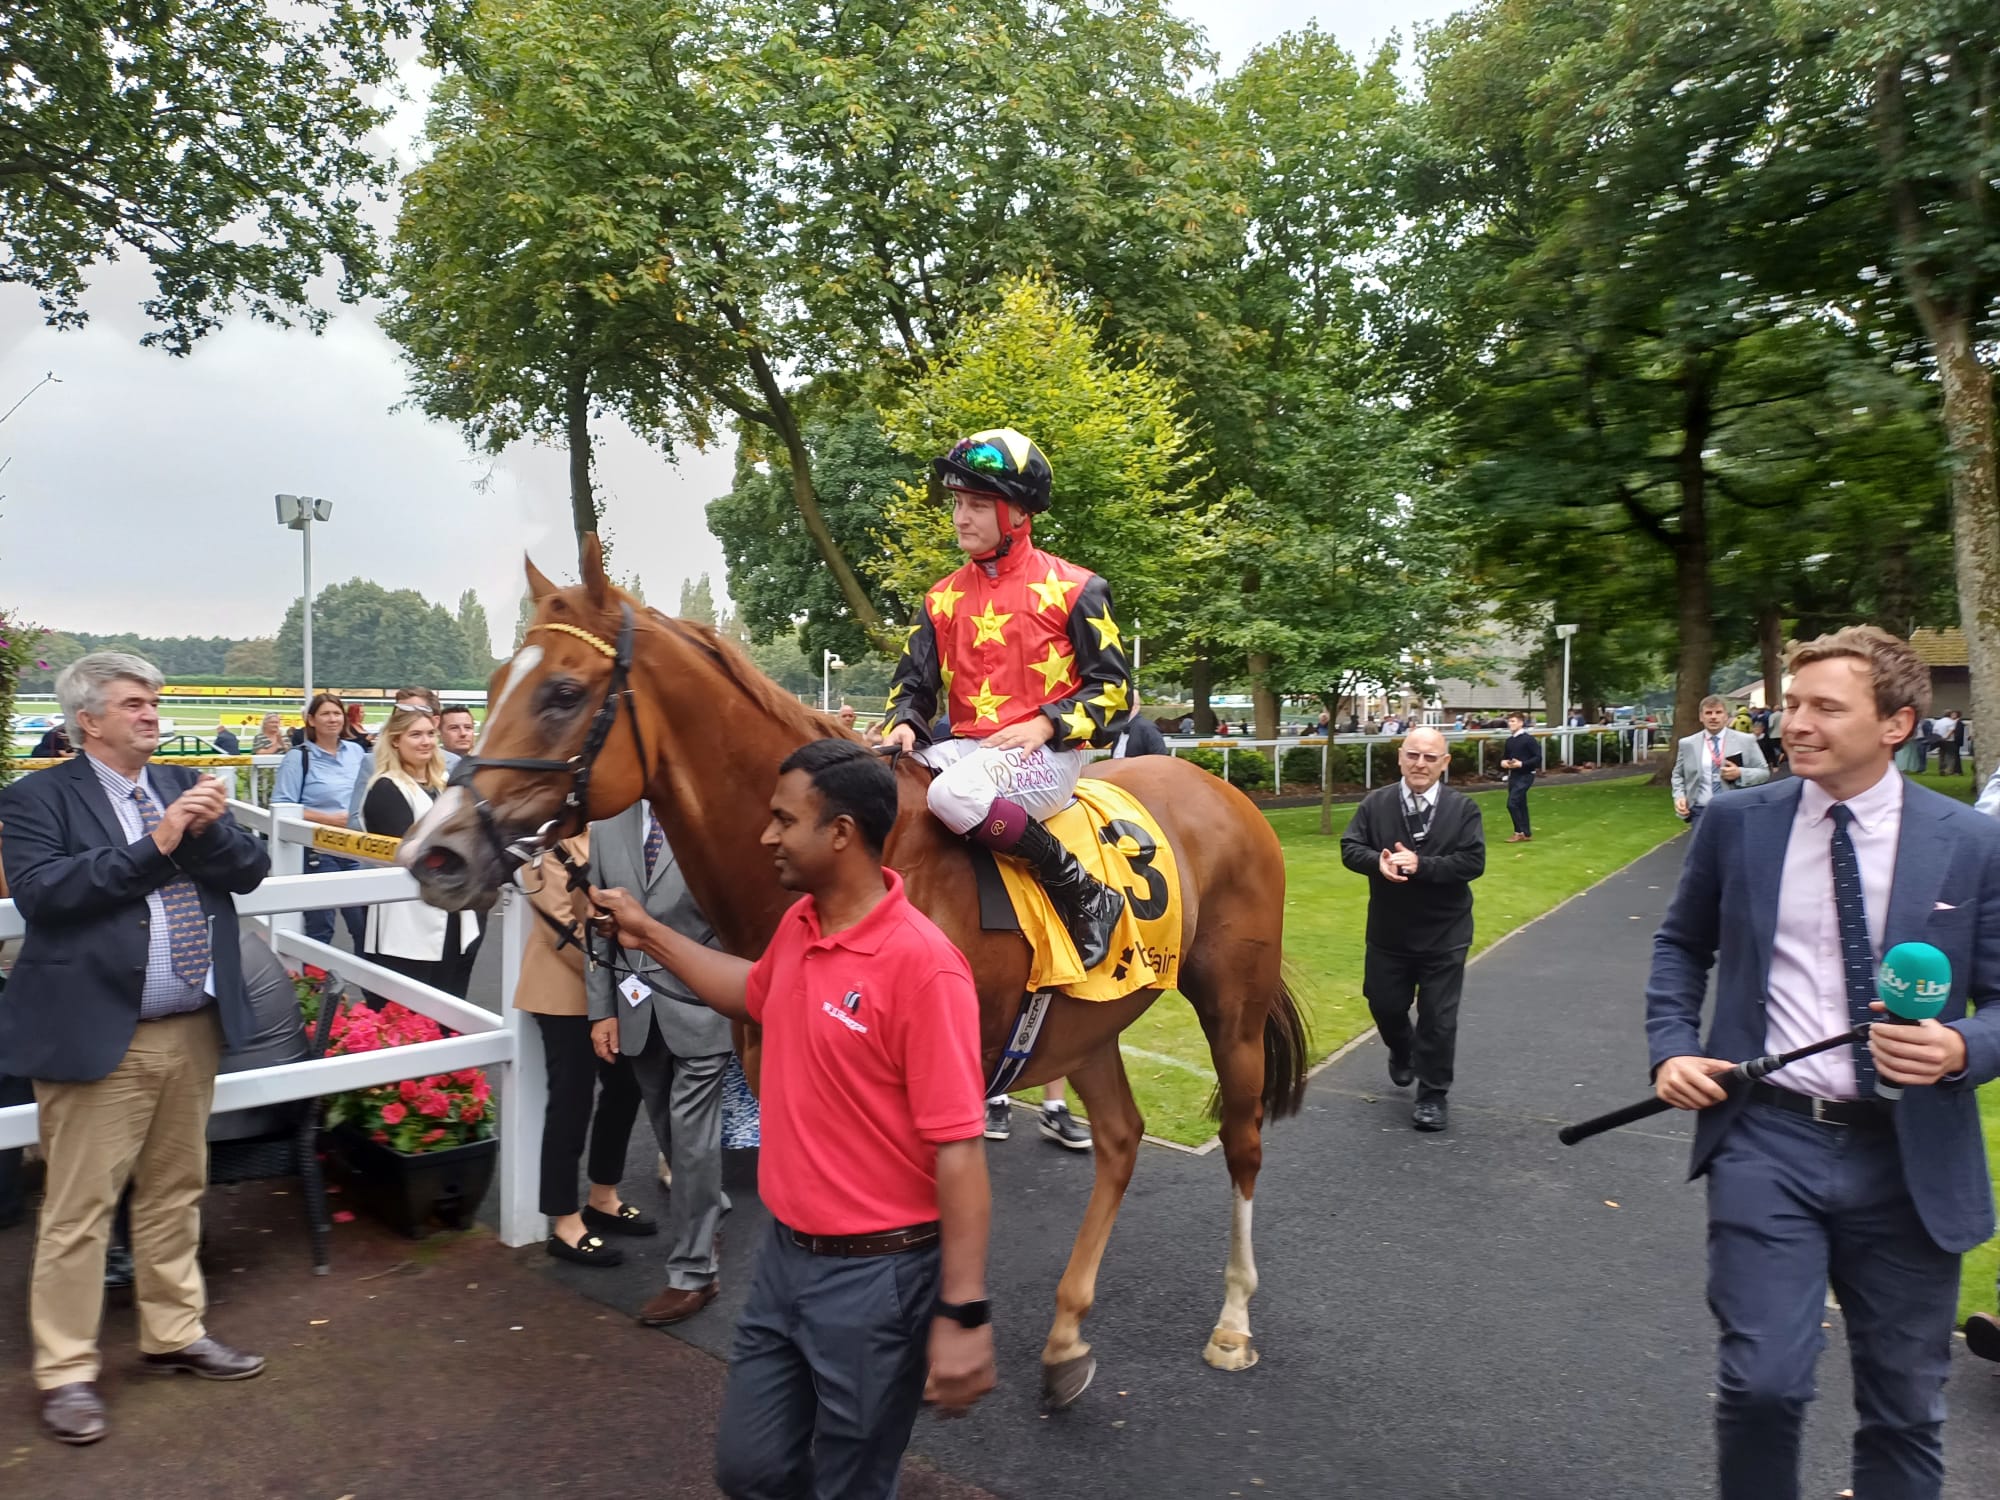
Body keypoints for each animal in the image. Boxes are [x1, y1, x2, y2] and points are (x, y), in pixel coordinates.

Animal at [406, 544, 1312, 1408]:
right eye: (493, 686)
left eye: (562, 692)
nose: (434, 853)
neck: (859, 864)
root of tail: (1220, 791)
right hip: (1087, 1021)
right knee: (1122, 1141)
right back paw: (1065, 1339)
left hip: (1230, 1008)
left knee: (1243, 1143)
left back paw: (1233, 1322)